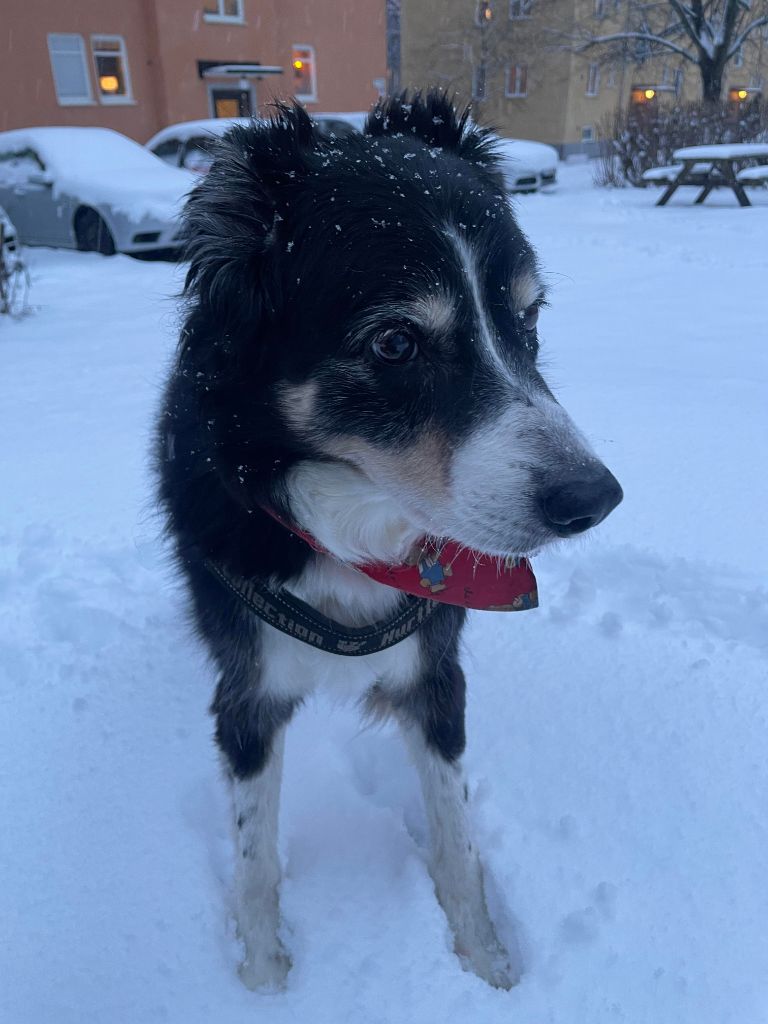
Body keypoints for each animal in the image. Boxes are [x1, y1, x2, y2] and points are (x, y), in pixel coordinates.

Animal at [157, 92, 626, 987]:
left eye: (527, 318)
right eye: (395, 343)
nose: (595, 500)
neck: (353, 525)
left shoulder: (436, 675)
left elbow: (456, 835)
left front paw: (484, 961)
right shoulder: (248, 692)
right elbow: (255, 855)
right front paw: (263, 976)